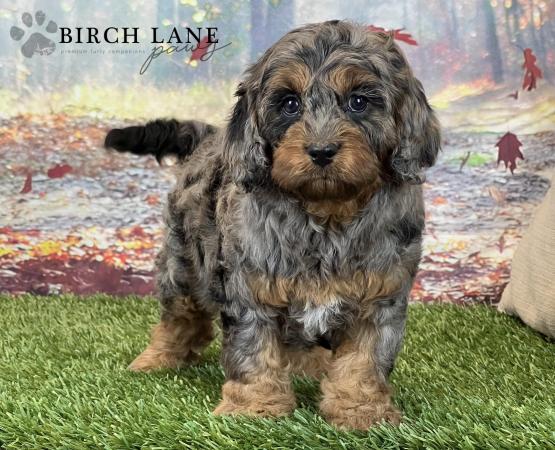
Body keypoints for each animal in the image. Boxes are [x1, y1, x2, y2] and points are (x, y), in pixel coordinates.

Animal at [105, 20, 440, 430]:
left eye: (358, 101)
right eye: (289, 103)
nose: (322, 151)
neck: (326, 215)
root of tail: (210, 139)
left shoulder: (380, 294)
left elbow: (364, 359)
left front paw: (361, 410)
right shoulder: (251, 288)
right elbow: (254, 351)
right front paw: (256, 409)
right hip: (182, 262)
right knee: (180, 316)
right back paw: (158, 358)